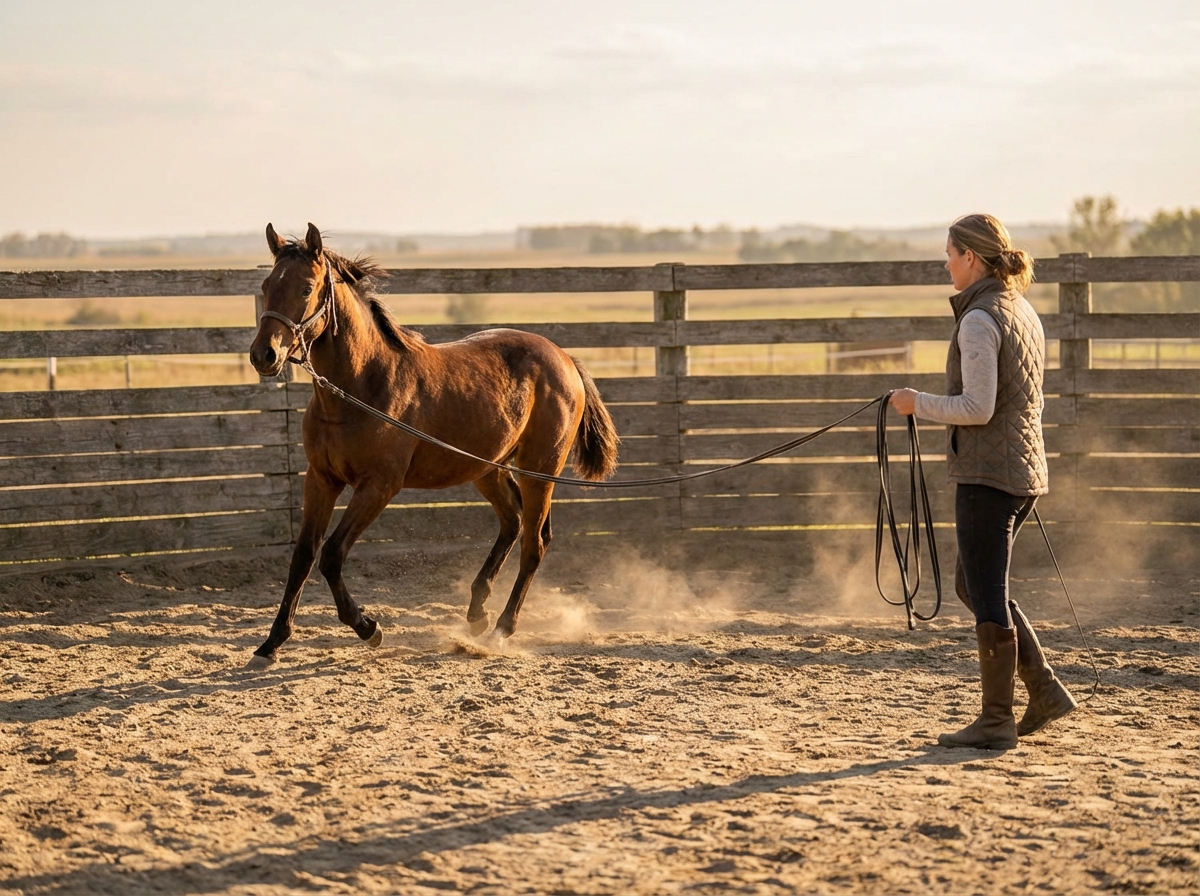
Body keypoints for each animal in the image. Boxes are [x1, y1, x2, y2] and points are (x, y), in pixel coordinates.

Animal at [246, 223, 619, 666]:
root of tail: (564, 359)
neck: (360, 387)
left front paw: (368, 628)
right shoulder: (321, 479)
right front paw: (271, 644)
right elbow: (304, 554)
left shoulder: (379, 486)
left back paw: (501, 629)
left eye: (306, 288)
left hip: (540, 469)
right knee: (512, 521)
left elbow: (332, 554)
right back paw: (476, 611)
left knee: (534, 542)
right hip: (487, 467)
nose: (264, 355)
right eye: (267, 285)